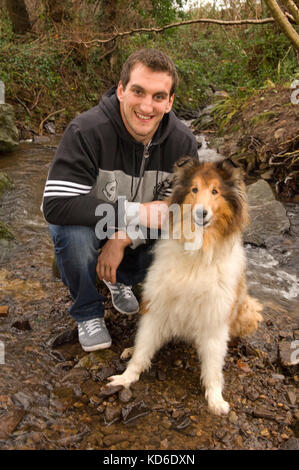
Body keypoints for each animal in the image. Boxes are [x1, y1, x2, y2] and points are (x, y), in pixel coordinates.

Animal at [109, 157, 264, 414]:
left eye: (215, 191)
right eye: (194, 189)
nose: (202, 213)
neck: (198, 251)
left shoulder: (215, 317)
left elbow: (213, 367)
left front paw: (215, 399)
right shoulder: (157, 305)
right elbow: (143, 349)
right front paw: (126, 377)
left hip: (248, 309)